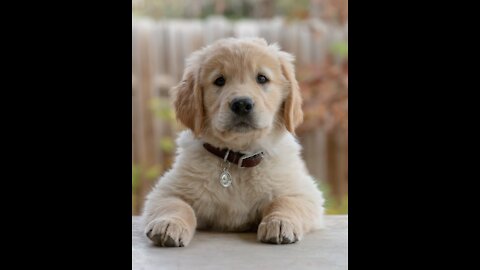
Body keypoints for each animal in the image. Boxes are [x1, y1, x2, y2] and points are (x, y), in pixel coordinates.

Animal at [141, 37, 324, 247]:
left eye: (262, 78)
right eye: (219, 80)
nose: (242, 104)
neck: (238, 159)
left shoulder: (304, 192)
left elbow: (285, 202)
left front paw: (279, 222)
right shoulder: (166, 191)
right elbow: (176, 205)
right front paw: (169, 223)